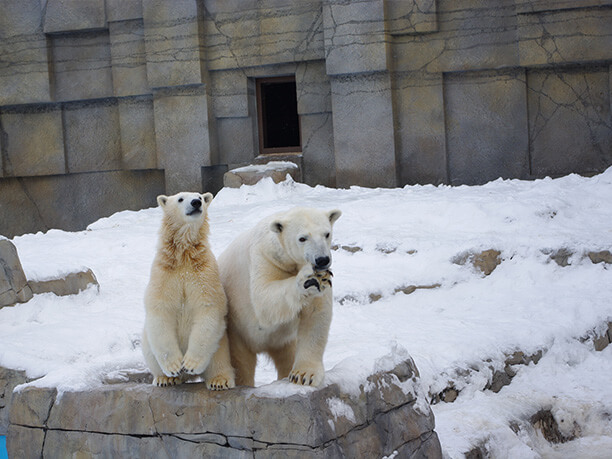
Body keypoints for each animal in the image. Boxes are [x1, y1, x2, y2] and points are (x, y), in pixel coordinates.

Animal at [142, 192, 235, 390]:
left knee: (219, 358)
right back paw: (165, 379)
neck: (183, 257)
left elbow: (208, 309)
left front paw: (190, 364)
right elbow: (160, 309)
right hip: (147, 344)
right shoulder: (164, 274)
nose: (196, 202)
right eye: (180, 199)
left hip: (220, 343)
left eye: (200, 196)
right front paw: (175, 367)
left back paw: (219, 380)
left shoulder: (205, 273)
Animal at [219, 208, 344, 388]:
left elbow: (315, 314)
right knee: (243, 363)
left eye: (326, 234)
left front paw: (304, 375)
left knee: (287, 356)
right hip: (237, 332)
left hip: (284, 339)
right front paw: (307, 280)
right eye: (302, 238)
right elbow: (264, 298)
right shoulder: (264, 257)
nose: (322, 260)